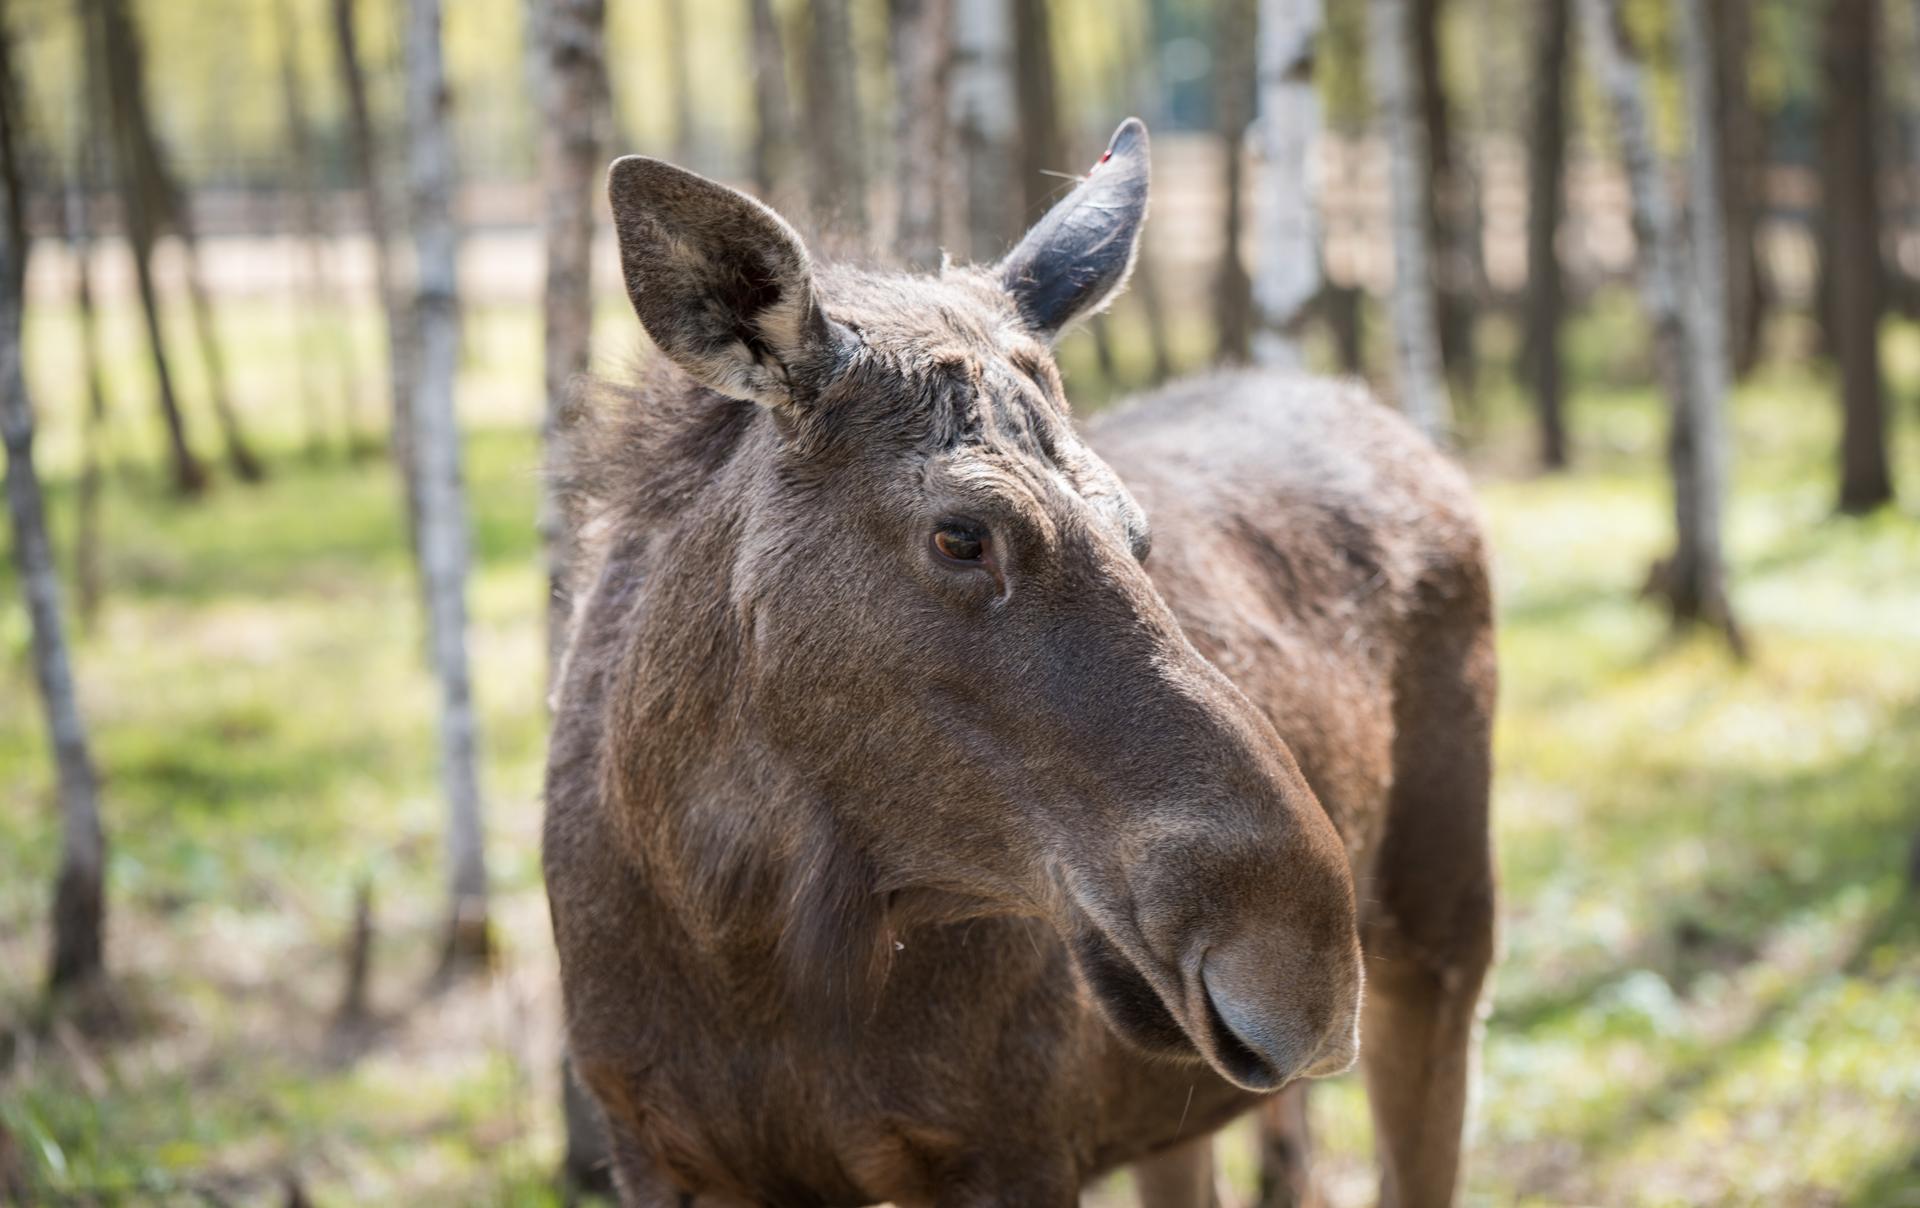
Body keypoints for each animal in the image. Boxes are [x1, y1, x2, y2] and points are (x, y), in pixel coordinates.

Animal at [545, 117, 1497, 1198]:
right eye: (962, 534)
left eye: (1137, 530)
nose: (1306, 968)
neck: (731, 930)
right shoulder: (654, 1146)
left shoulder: (1008, 1145)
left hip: (1444, 940)